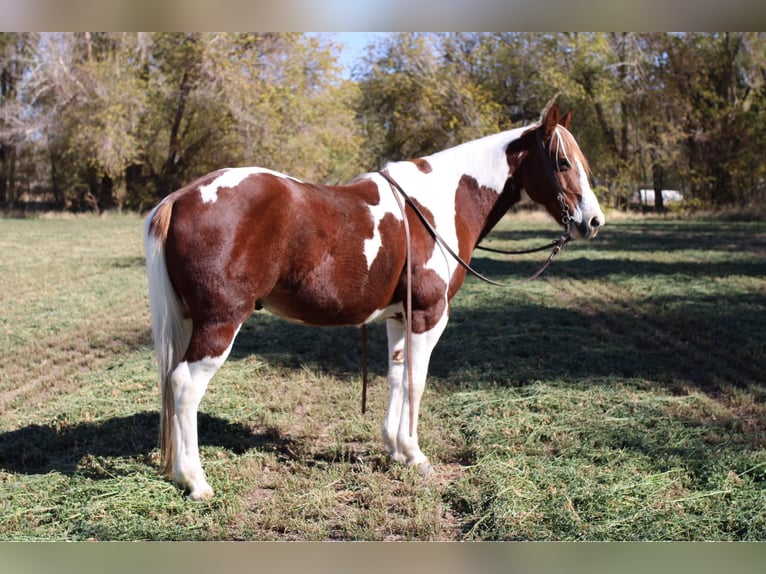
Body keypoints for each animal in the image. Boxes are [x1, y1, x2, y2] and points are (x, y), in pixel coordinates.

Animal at [144, 99, 605, 500]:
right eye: (562, 163)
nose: (594, 221)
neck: (436, 204)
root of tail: (180, 197)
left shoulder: (398, 318)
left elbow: (397, 376)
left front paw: (395, 448)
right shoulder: (429, 316)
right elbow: (417, 381)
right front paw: (416, 454)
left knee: (173, 385)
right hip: (221, 322)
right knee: (185, 386)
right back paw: (195, 482)